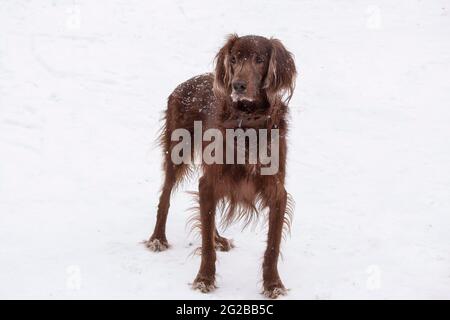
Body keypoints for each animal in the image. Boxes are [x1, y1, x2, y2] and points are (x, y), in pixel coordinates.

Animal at [146, 33, 298, 298]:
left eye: (260, 60)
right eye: (234, 59)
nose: (238, 85)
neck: (248, 123)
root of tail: (185, 83)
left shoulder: (277, 191)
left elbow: (272, 246)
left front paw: (273, 284)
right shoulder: (209, 181)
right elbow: (205, 243)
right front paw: (204, 279)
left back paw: (218, 238)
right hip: (177, 152)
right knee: (165, 196)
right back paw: (158, 238)